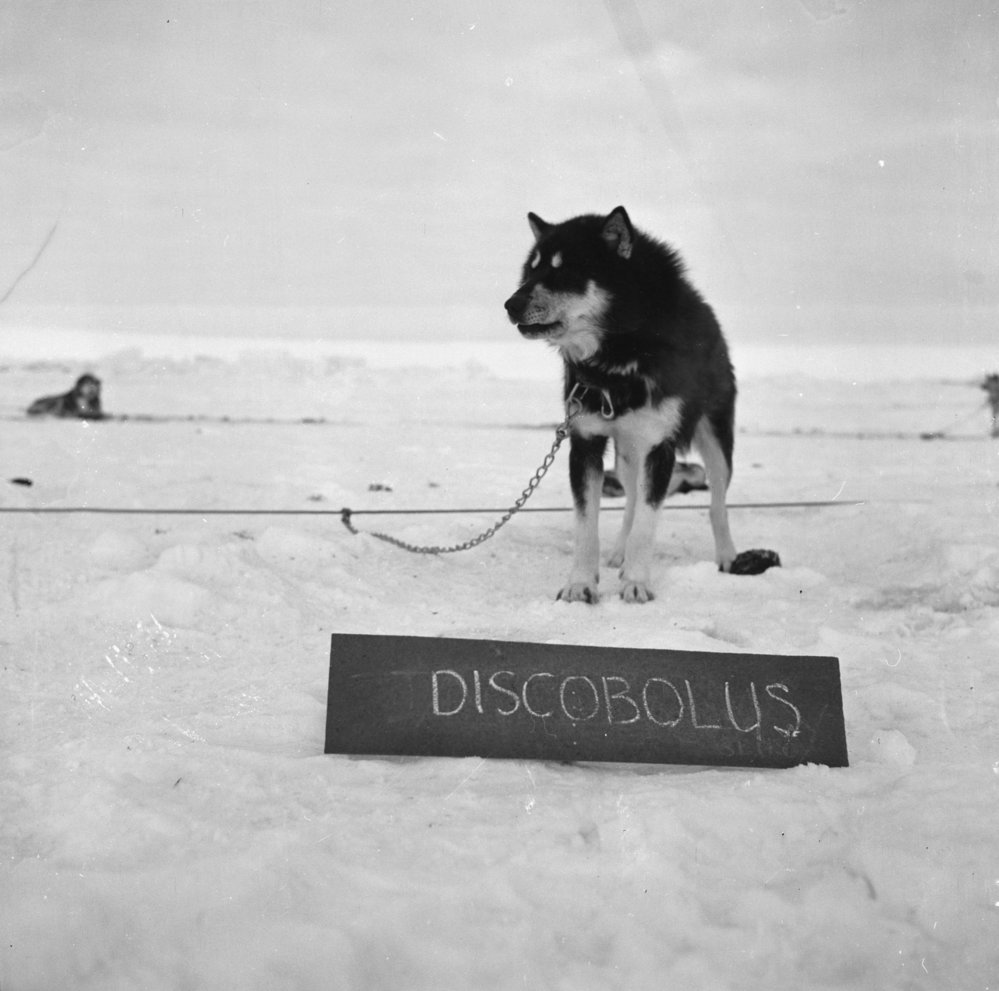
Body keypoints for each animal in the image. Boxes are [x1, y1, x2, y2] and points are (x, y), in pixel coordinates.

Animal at [504, 206, 737, 603]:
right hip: (628, 455)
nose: (511, 304)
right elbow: (588, 524)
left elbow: (647, 522)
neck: (616, 360)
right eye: (531, 270)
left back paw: (727, 556)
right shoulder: (585, 443)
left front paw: (637, 584)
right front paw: (581, 583)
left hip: (715, 442)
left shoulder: (659, 446)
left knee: (716, 503)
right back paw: (619, 554)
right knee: (630, 501)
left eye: (564, 271)